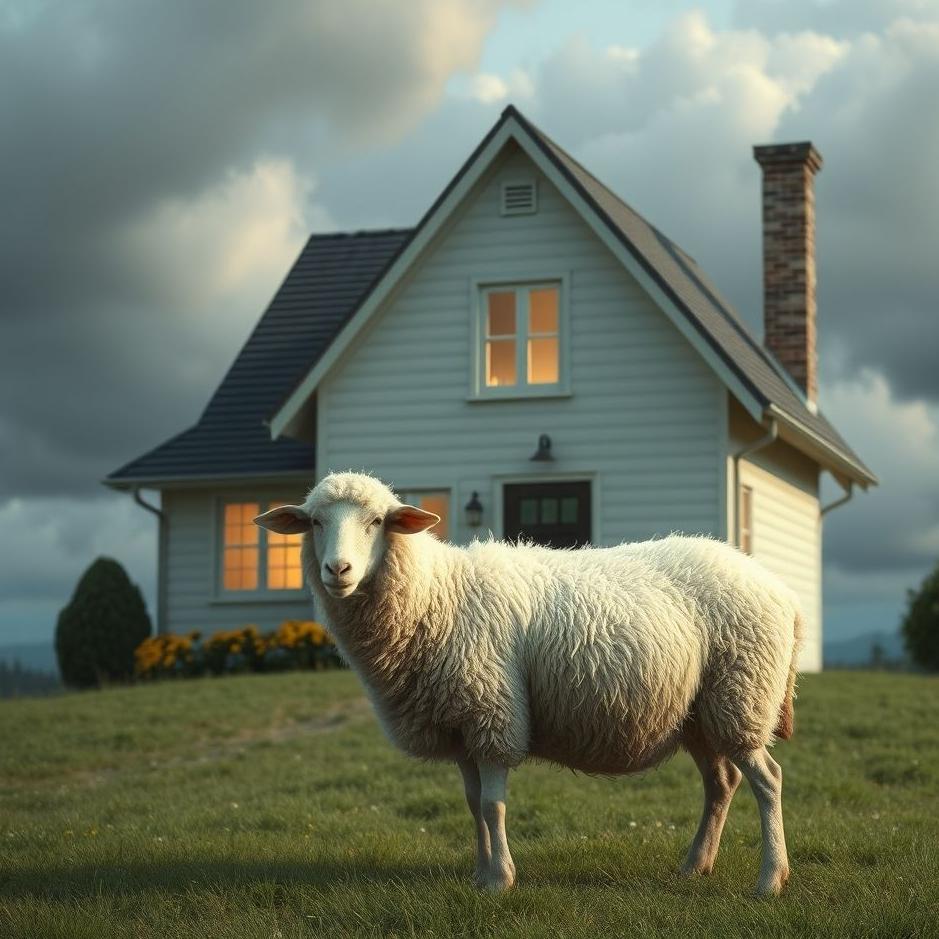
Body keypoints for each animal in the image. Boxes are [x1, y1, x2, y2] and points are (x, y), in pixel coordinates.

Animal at [255, 471, 803, 897]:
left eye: (376, 522)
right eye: (315, 522)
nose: (338, 570)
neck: (435, 595)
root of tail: (780, 591)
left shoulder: (491, 711)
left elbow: (493, 804)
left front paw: (501, 880)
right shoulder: (461, 724)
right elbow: (473, 804)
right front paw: (479, 875)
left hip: (741, 694)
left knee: (769, 779)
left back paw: (770, 880)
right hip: (700, 713)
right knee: (722, 782)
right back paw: (695, 866)